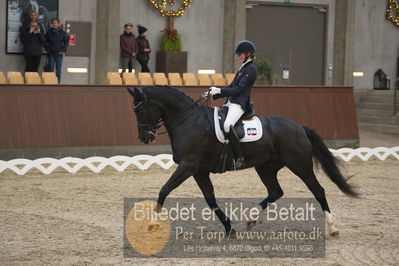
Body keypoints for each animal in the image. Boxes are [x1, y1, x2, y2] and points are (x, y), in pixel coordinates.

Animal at [129, 86, 360, 236]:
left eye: (139, 109)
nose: (144, 137)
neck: (188, 121)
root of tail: (299, 127)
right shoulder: (199, 171)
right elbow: (210, 200)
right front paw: (229, 228)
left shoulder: (188, 166)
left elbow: (164, 190)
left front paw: (152, 223)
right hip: (266, 167)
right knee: (275, 191)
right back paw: (251, 219)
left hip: (299, 165)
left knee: (318, 190)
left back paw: (332, 228)